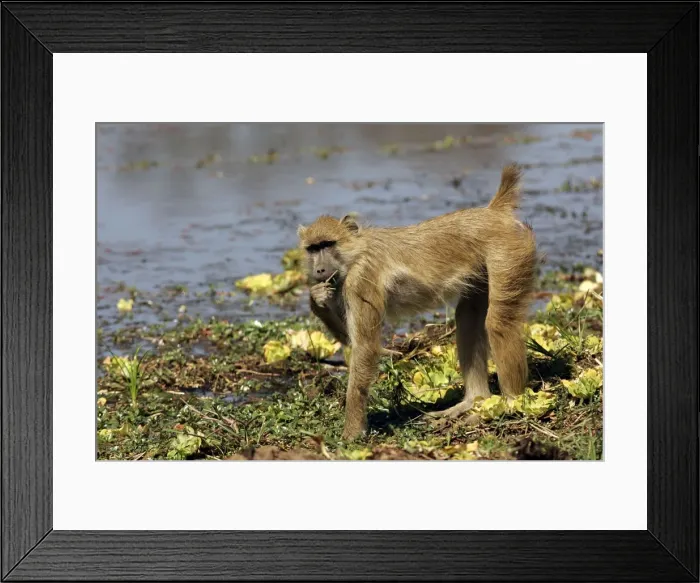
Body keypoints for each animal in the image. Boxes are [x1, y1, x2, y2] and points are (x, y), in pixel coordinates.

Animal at [297, 164, 537, 441]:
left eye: (328, 244)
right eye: (313, 249)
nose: (320, 270)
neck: (356, 252)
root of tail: (493, 212)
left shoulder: (361, 278)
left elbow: (365, 348)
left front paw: (353, 432)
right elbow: (351, 340)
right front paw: (317, 299)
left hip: (508, 252)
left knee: (498, 323)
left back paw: (510, 404)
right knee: (468, 317)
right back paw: (474, 400)